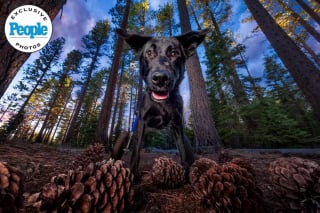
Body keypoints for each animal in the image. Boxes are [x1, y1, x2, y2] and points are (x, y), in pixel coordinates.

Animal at [115, 28, 210, 177]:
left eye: (174, 53)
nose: (160, 78)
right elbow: (136, 152)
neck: (161, 104)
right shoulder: (141, 122)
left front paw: (187, 174)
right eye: (149, 53)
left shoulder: (177, 124)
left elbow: (183, 151)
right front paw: (133, 176)